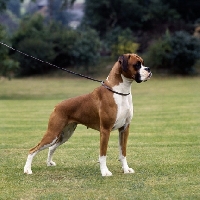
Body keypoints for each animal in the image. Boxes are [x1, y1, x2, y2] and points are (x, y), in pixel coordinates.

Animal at [23, 53, 152, 177]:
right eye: (136, 65)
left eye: (143, 63)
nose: (149, 69)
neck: (120, 92)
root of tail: (57, 106)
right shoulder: (105, 130)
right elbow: (103, 154)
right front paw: (104, 172)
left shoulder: (124, 129)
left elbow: (123, 152)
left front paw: (126, 169)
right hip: (53, 133)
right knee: (32, 150)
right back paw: (27, 169)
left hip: (65, 135)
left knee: (51, 147)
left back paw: (49, 163)